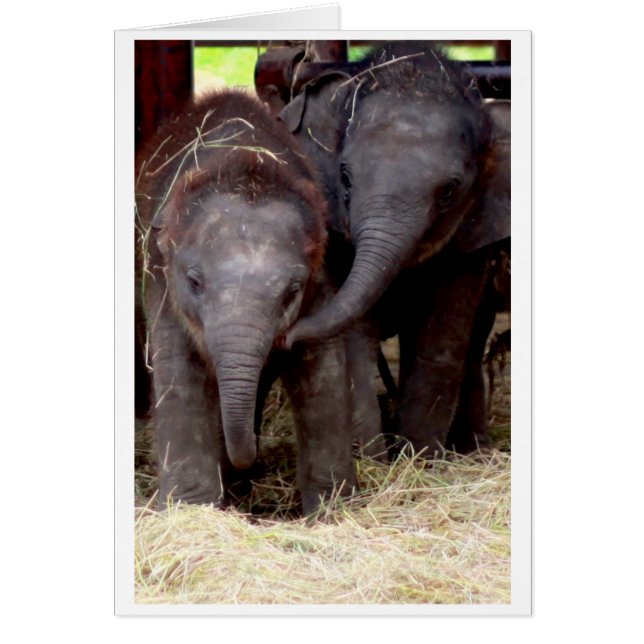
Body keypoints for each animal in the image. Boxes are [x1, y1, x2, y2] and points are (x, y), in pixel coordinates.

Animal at [135, 89, 361, 514]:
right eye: (194, 282)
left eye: (291, 292)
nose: (249, 458)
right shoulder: (162, 281)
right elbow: (179, 369)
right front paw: (192, 510)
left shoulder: (321, 281)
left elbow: (322, 366)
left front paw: (332, 510)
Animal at [277, 42, 511, 456]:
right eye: (344, 176)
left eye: (448, 191)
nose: (285, 337)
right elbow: (354, 333)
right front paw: (370, 458)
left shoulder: (469, 237)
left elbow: (440, 333)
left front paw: (418, 458)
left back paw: (476, 449)